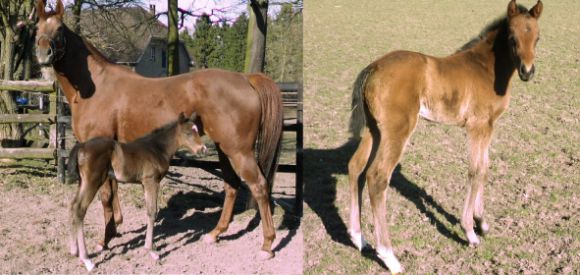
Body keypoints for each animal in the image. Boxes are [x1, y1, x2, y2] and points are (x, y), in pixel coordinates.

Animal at [67, 114, 206, 272]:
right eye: (188, 133)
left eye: (197, 131)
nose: (203, 149)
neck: (158, 149)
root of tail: (82, 146)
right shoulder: (152, 181)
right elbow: (152, 212)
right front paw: (151, 251)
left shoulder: (145, 184)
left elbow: (149, 212)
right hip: (93, 181)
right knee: (80, 208)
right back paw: (87, 260)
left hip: (83, 182)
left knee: (73, 205)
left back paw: (74, 250)